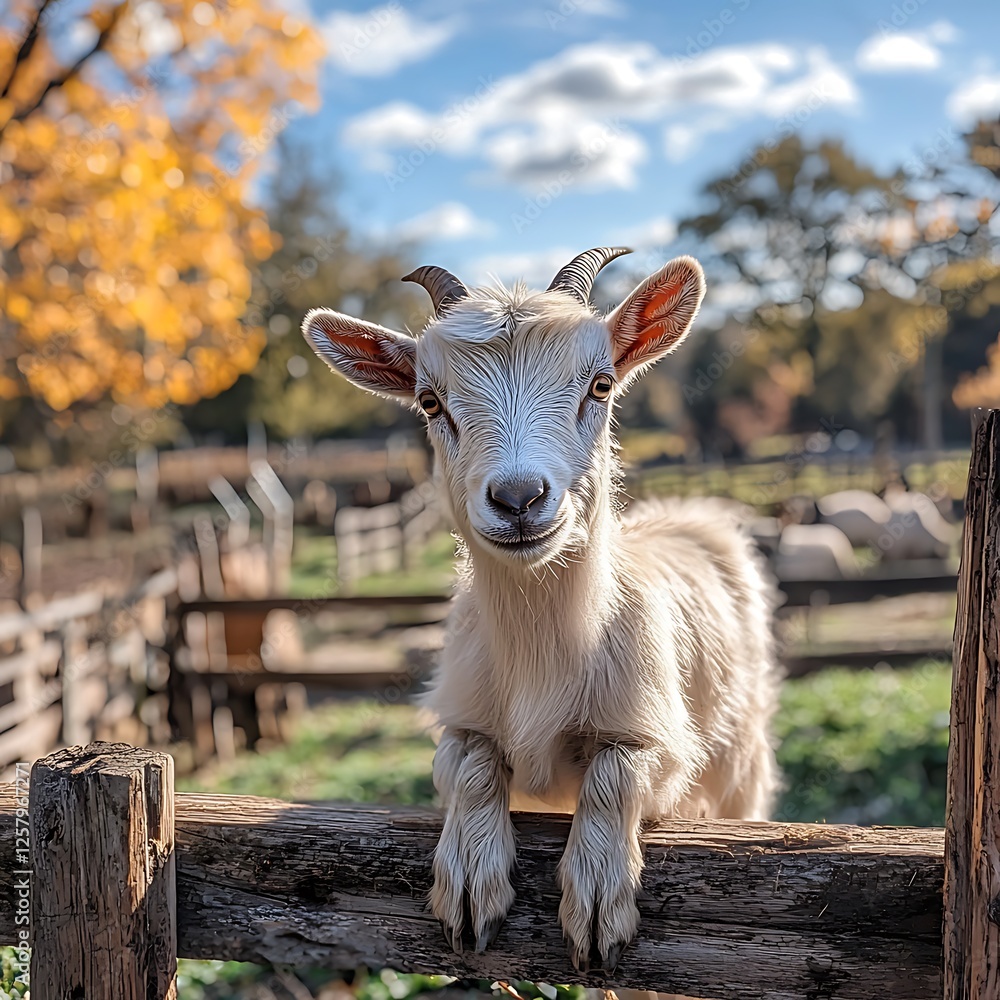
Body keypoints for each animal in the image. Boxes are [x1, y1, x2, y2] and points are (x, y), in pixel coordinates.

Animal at [302, 248, 780, 972]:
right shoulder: (462, 714)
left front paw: (597, 906)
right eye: (429, 400)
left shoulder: (667, 747)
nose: (519, 498)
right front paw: (469, 887)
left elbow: (617, 770)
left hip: (740, 772)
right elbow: (464, 763)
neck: (541, 658)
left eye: (601, 385)